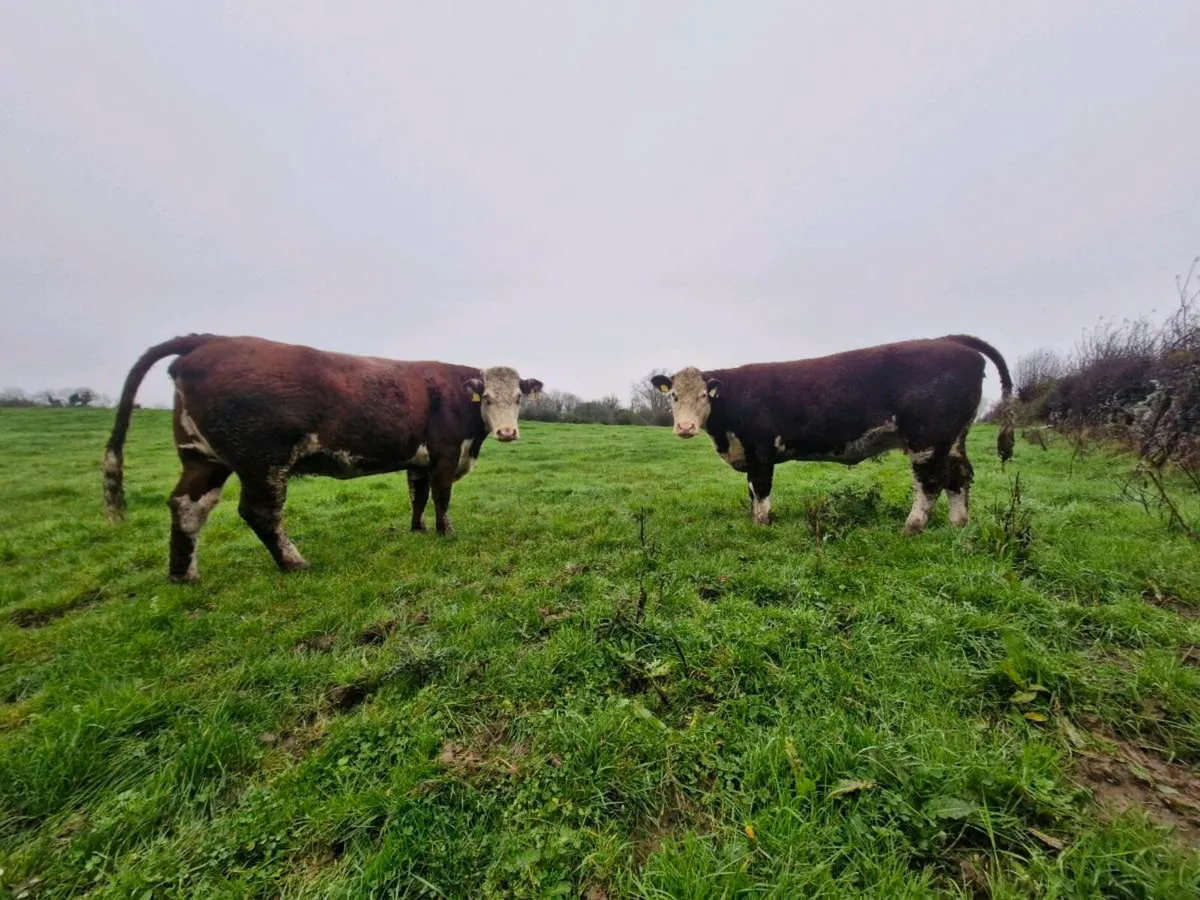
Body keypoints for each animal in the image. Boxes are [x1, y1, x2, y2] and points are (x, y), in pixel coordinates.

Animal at [102, 334, 542, 583]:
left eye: (519, 398)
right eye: (487, 398)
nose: (507, 432)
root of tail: (210, 339)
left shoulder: (418, 460)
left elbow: (417, 497)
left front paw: (417, 529)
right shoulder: (445, 454)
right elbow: (441, 497)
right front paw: (445, 533)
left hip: (202, 457)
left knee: (187, 506)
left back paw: (183, 574)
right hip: (264, 460)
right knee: (260, 512)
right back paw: (295, 563)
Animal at [651, 335, 1014, 534]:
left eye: (703, 396)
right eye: (674, 396)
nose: (685, 427)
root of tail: (950, 341)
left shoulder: (761, 451)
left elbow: (761, 491)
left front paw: (762, 525)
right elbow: (752, 492)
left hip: (928, 438)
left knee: (931, 482)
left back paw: (911, 528)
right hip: (953, 439)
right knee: (959, 476)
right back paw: (957, 525)